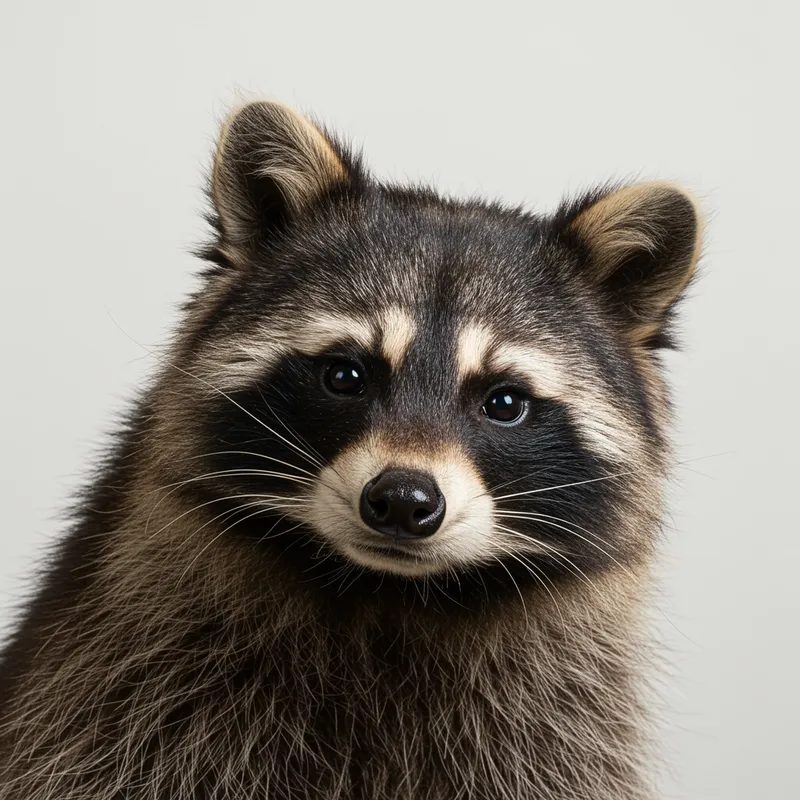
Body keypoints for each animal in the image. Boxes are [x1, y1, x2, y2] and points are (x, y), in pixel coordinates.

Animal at [0, 101, 702, 800]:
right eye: (345, 375)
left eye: (504, 403)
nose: (403, 500)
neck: (388, 596)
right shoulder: (117, 693)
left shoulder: (553, 731)